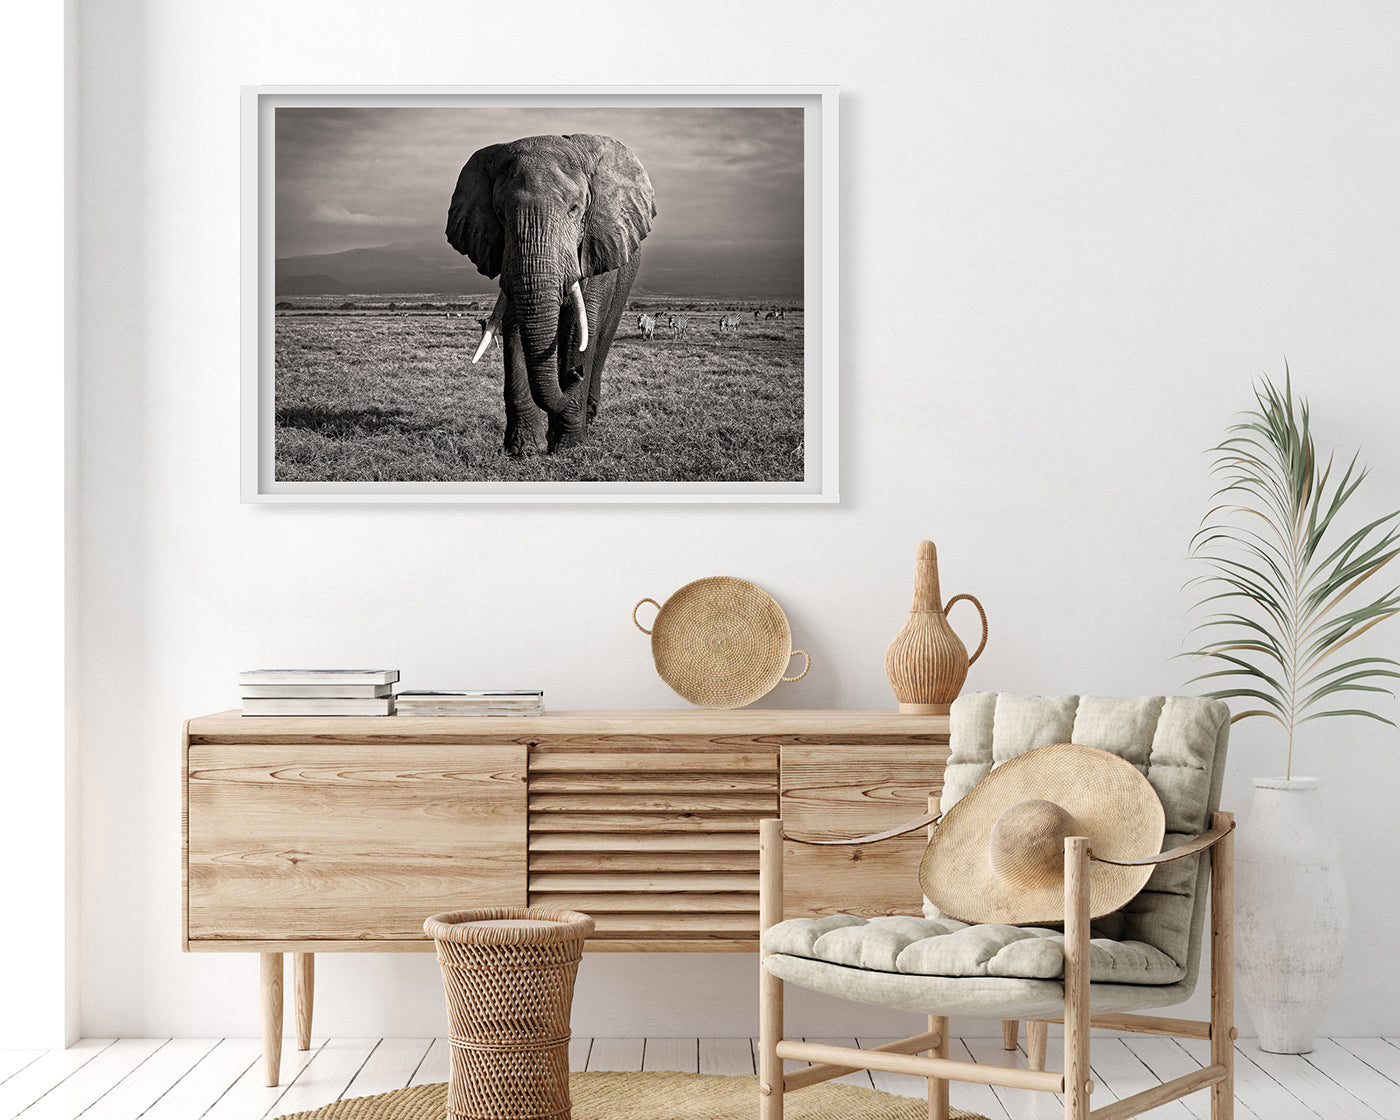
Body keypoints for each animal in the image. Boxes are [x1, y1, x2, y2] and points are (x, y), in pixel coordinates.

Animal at [446, 134, 656, 454]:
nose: (575, 374)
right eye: (500, 215)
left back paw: (587, 415)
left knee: (602, 336)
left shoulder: (595, 247)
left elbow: (579, 329)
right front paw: (522, 449)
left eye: (575, 209)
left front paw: (569, 448)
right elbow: (516, 324)